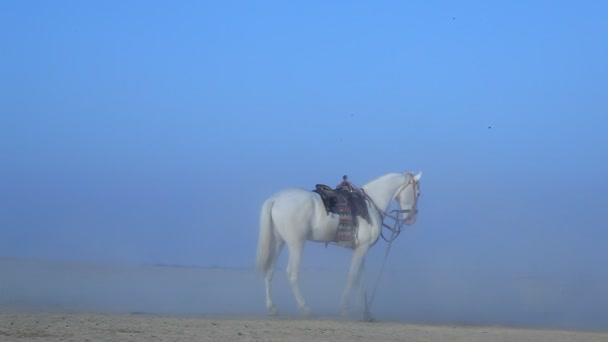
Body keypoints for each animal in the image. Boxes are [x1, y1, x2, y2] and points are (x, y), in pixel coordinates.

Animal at [254, 172, 420, 320]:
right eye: (417, 193)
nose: (411, 218)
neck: (371, 206)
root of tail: (275, 199)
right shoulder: (362, 248)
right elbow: (352, 276)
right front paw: (346, 309)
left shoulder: (361, 249)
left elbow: (360, 279)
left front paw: (364, 312)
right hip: (296, 243)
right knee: (292, 273)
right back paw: (306, 309)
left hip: (279, 242)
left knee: (270, 271)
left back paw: (272, 308)